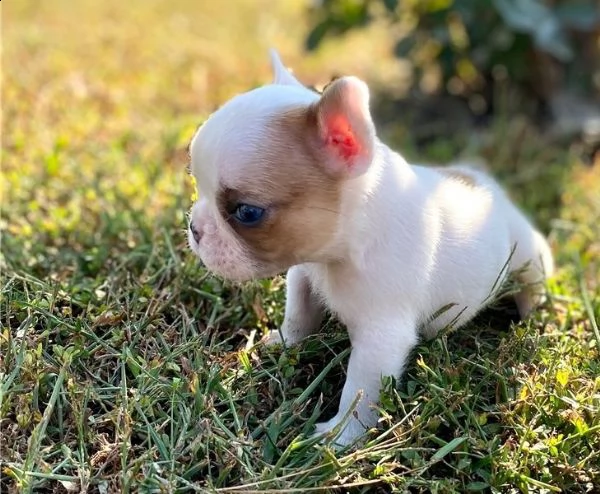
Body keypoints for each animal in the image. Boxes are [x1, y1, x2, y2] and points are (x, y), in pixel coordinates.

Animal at [186, 50, 552, 448]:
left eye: (247, 212)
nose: (194, 228)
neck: (341, 251)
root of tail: (487, 185)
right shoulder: (304, 273)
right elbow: (299, 313)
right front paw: (283, 342)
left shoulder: (382, 338)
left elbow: (359, 392)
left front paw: (339, 438)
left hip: (530, 259)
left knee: (531, 287)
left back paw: (529, 317)